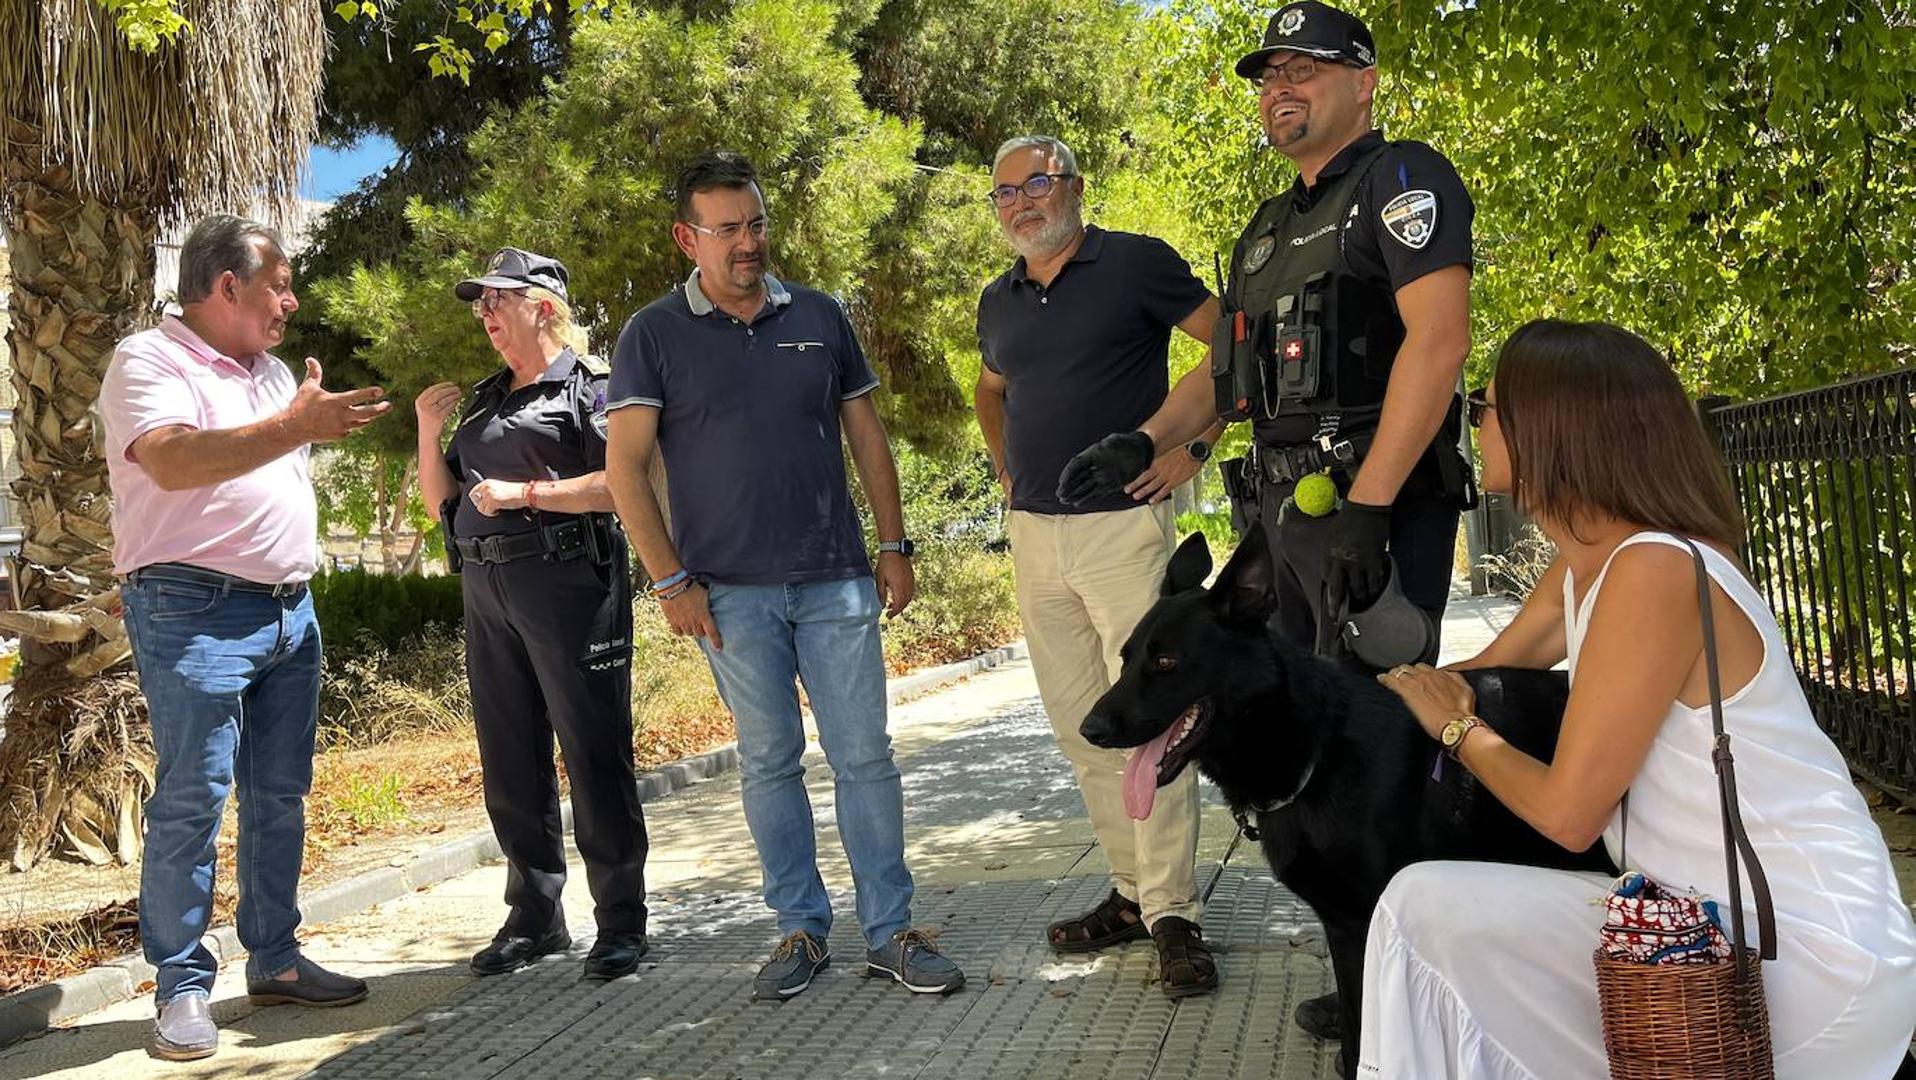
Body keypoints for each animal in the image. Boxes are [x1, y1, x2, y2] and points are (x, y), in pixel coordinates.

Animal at [1088, 524, 1609, 1072]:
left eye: (1166, 661)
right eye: (1125, 659)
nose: (1089, 729)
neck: (1316, 749)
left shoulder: (1366, 923)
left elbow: (1363, 1034)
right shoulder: (1342, 925)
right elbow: (1354, 1022)